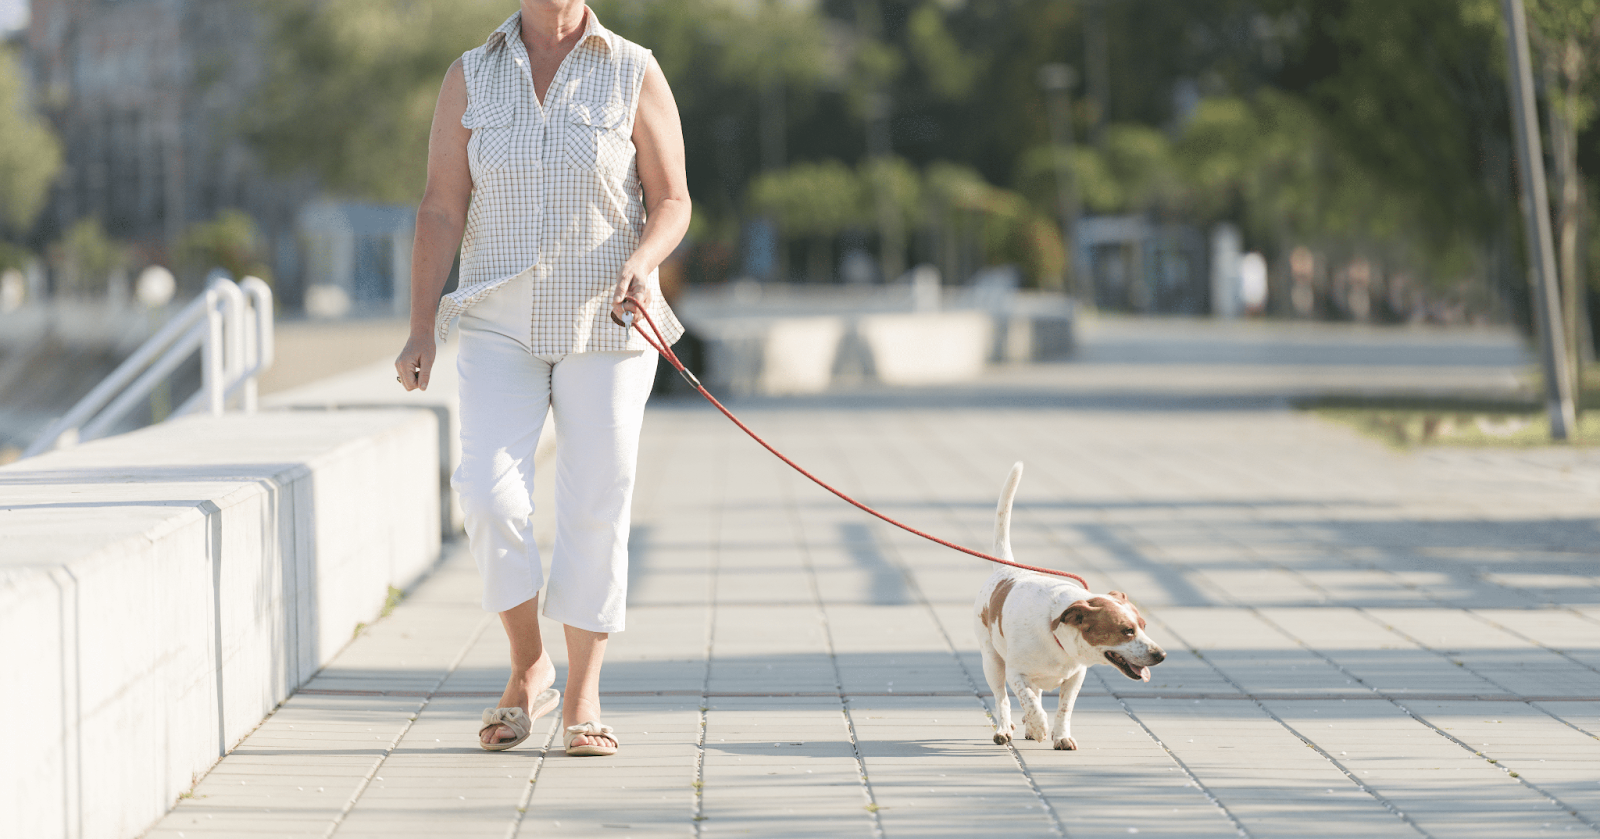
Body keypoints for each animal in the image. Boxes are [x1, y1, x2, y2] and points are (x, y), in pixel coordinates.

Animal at [966, 461, 1171, 749]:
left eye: (1143, 625)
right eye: (1126, 630)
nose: (1161, 655)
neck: (1058, 637)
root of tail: (1006, 568)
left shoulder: (1076, 677)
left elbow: (1064, 708)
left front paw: (1061, 736)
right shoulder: (1015, 673)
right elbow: (1028, 702)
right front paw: (1040, 727)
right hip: (992, 661)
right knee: (1002, 698)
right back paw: (1005, 729)